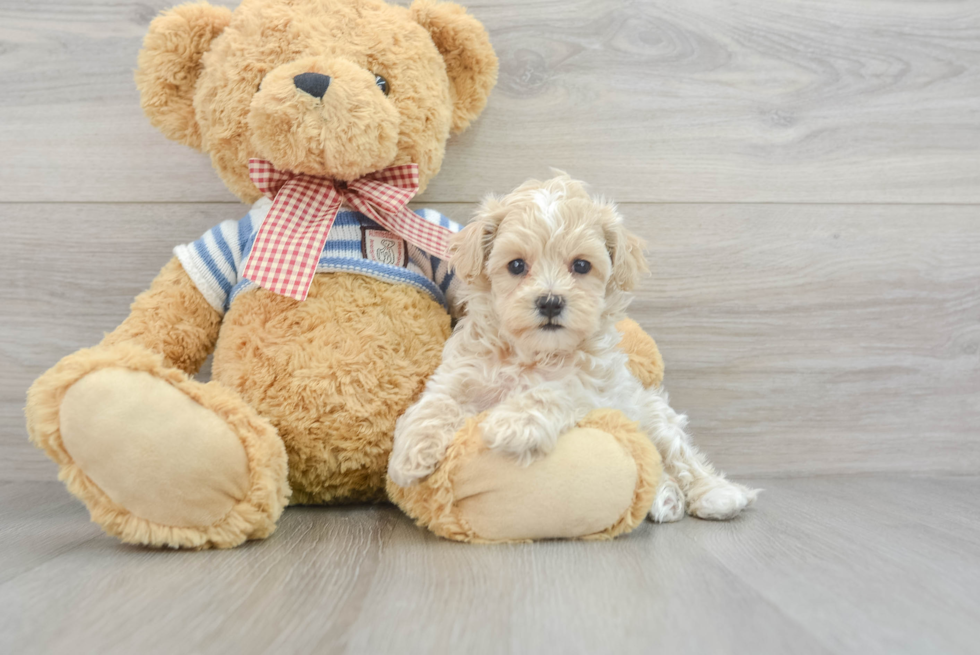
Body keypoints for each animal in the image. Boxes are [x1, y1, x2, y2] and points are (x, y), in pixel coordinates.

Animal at [388, 174, 756, 524]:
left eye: (581, 266)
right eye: (517, 265)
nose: (550, 302)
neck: (532, 354)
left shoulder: (593, 392)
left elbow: (553, 391)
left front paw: (513, 424)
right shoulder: (458, 375)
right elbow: (436, 404)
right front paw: (409, 454)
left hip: (653, 415)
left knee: (681, 458)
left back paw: (716, 495)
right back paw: (665, 497)